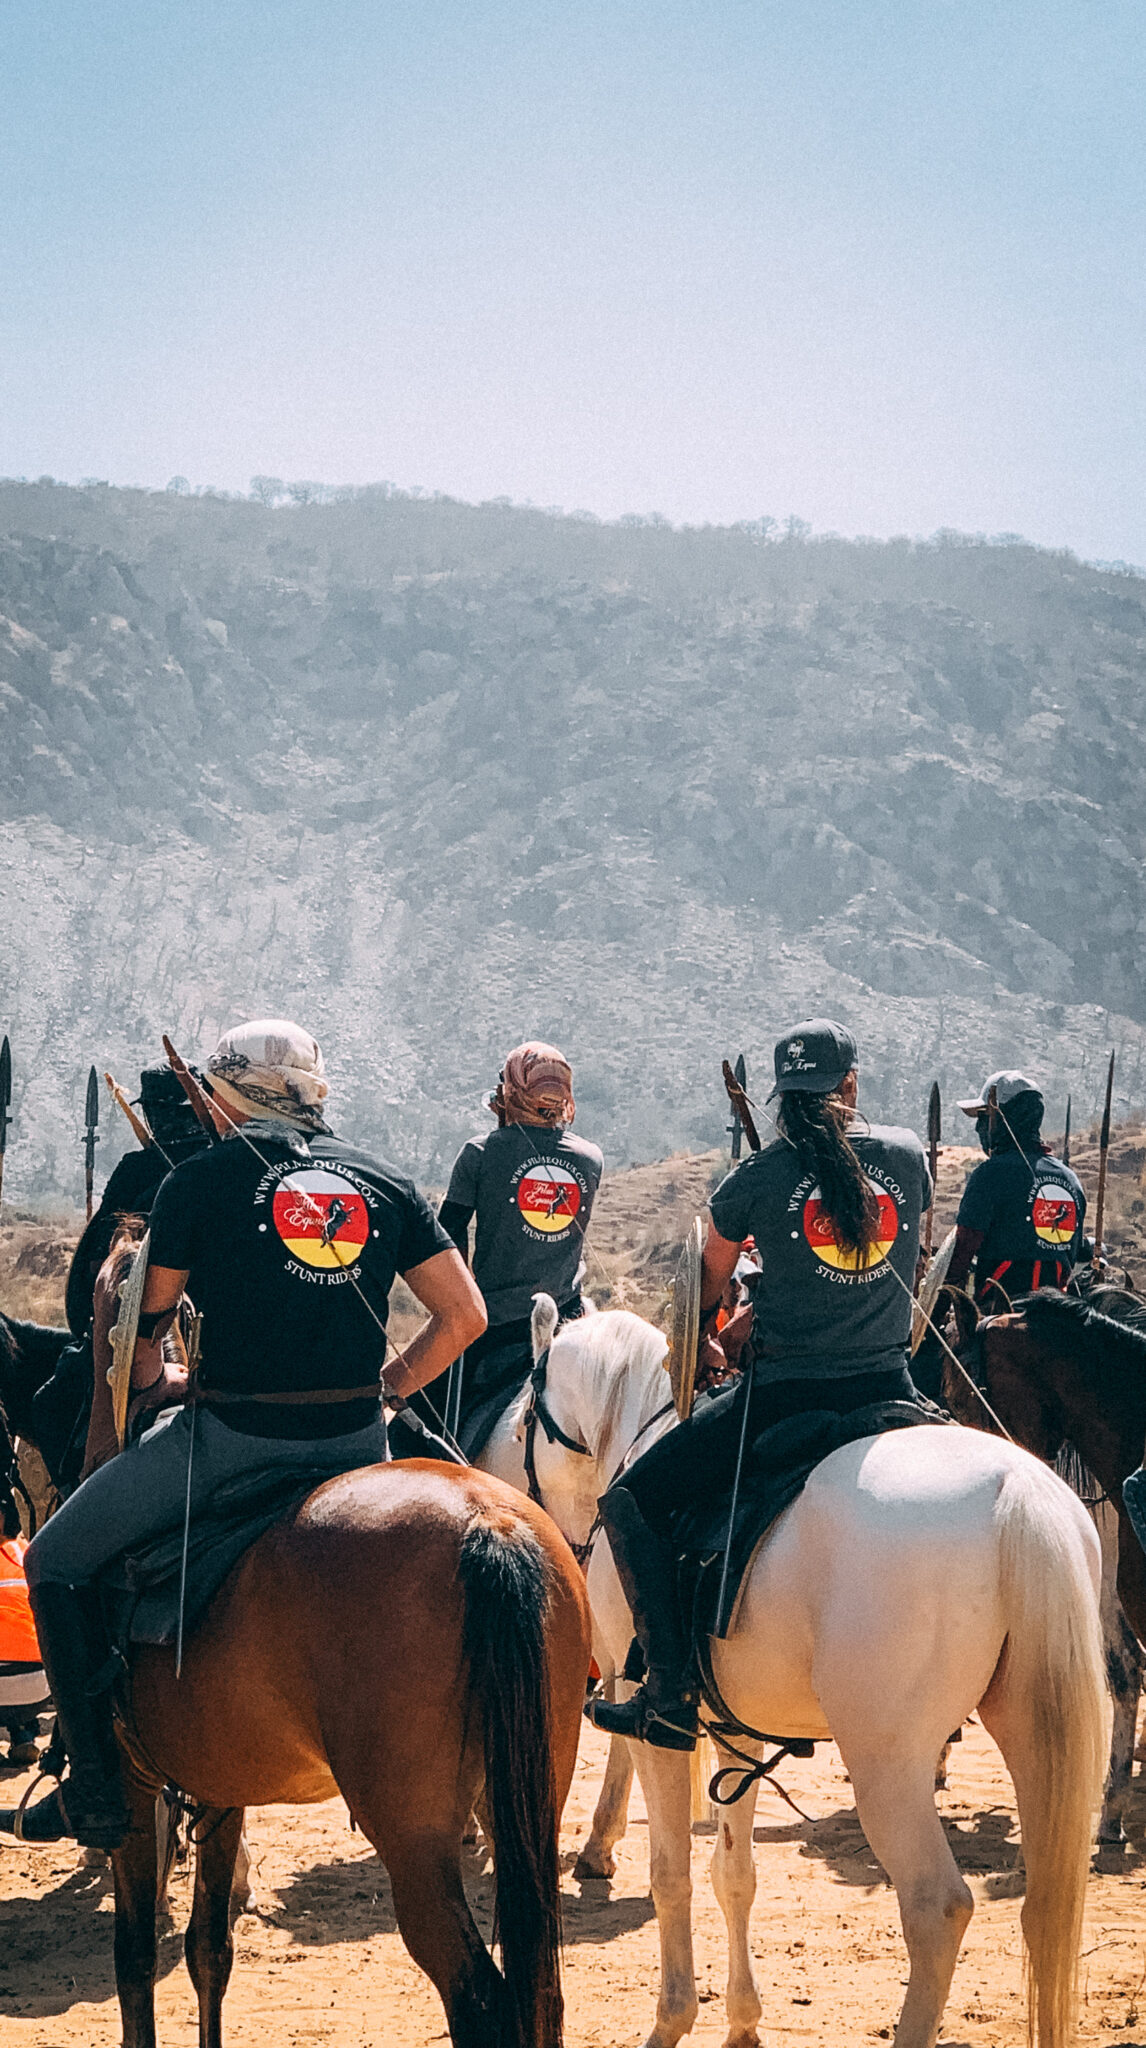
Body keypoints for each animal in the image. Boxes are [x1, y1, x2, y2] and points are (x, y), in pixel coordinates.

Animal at [485, 1302, 1113, 2048]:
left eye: (524, 1418)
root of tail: (1017, 1493)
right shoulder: (734, 1730)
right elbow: (734, 1874)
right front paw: (742, 2023)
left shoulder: (651, 1722)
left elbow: (672, 1873)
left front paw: (672, 2020)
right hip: (1032, 1733)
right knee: (1047, 1902)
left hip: (887, 1764)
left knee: (937, 1908)